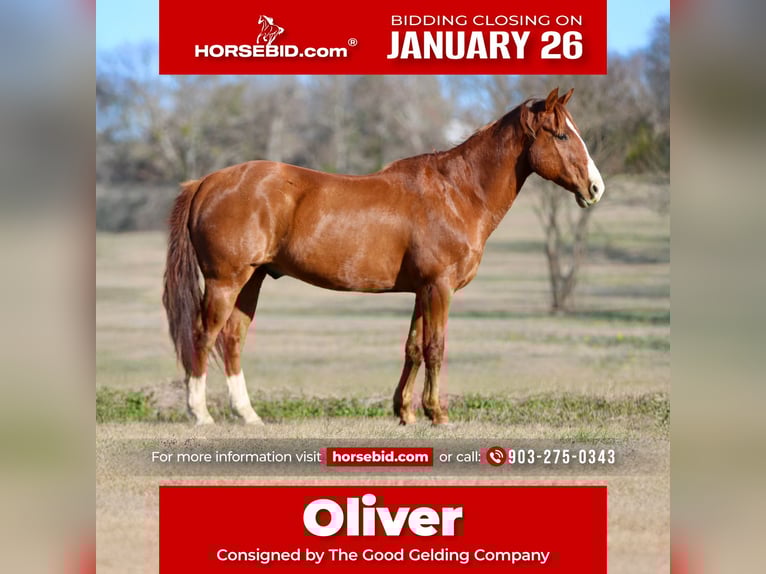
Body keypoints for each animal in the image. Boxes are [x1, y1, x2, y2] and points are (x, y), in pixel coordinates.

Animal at [162, 88, 605, 426]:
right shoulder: (439, 287)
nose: (596, 188)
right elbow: (435, 347)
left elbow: (413, 347)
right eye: (561, 136)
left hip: (250, 279)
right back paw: (200, 414)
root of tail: (206, 181)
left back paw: (248, 415)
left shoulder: (422, 290)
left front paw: (405, 412)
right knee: (203, 335)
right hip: (225, 281)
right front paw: (436, 414)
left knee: (232, 339)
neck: (457, 193)